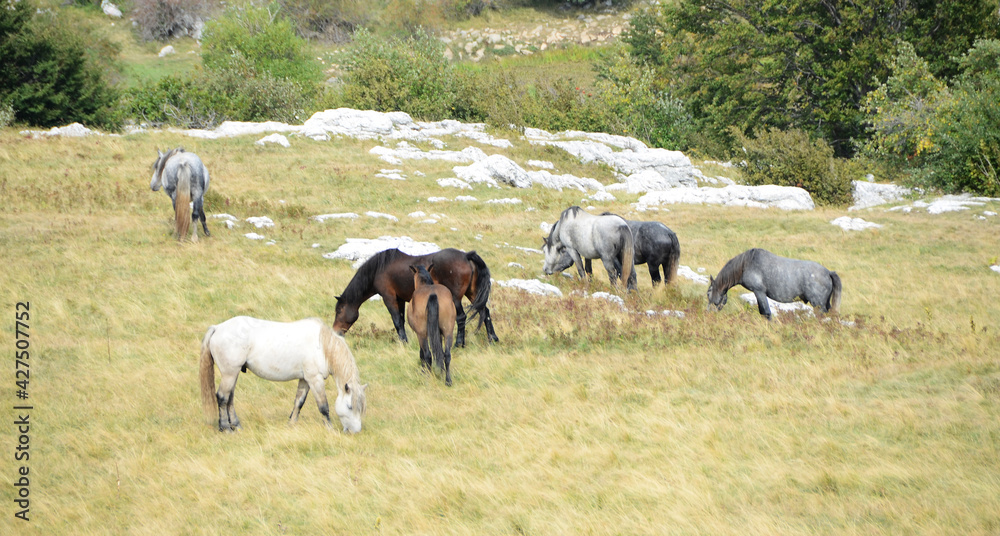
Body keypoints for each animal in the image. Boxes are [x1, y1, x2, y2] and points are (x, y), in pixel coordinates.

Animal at [199, 316, 368, 434]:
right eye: (350, 406)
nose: (355, 431)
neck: (322, 346)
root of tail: (217, 328)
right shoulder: (315, 380)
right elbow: (323, 406)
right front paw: (330, 428)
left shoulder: (305, 380)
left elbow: (299, 402)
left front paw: (291, 424)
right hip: (229, 374)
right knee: (222, 397)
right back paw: (226, 428)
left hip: (233, 375)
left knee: (230, 399)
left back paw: (237, 426)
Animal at [332, 248, 500, 346]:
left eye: (339, 311)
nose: (335, 332)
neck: (379, 269)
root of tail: (466, 256)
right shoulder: (399, 299)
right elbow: (401, 320)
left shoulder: (389, 298)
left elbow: (397, 321)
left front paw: (403, 343)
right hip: (473, 294)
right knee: (485, 312)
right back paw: (492, 339)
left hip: (456, 297)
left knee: (462, 317)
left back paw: (459, 343)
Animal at [708, 249, 840, 320]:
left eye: (708, 293)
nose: (708, 312)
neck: (746, 264)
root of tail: (828, 272)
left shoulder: (759, 292)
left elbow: (765, 312)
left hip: (818, 305)